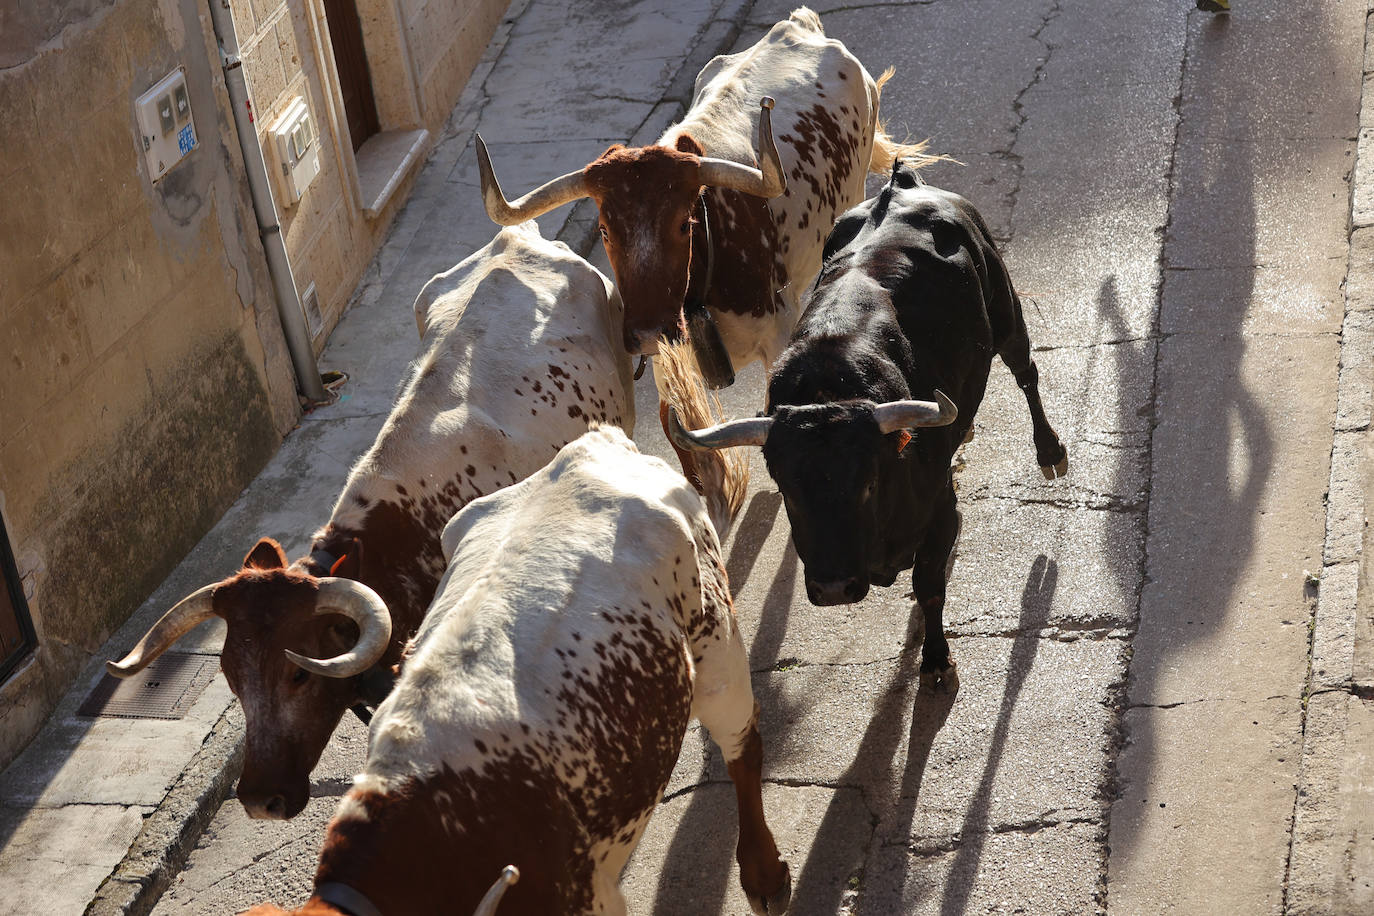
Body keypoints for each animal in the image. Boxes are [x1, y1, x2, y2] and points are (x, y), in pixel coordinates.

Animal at [241, 428, 791, 916]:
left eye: (298, 675)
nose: (259, 799)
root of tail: (594, 445)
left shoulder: (592, 900)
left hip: (715, 650)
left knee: (741, 744)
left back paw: (764, 875)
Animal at [670, 168, 1066, 692]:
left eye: (868, 483)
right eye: (788, 490)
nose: (836, 587)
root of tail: (902, 184)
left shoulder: (939, 512)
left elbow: (929, 587)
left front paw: (936, 662)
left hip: (1007, 314)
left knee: (1026, 373)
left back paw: (1051, 453)